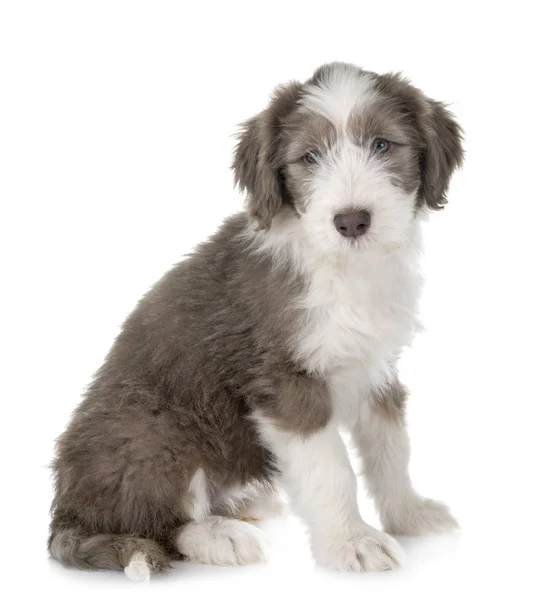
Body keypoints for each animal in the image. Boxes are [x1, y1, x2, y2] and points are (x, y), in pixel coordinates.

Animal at [49, 63, 466, 580]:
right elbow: (332, 471)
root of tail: (64, 511)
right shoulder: (285, 384)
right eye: (310, 156)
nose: (351, 221)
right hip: (152, 432)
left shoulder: (376, 368)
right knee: (159, 526)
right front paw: (352, 543)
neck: (344, 269)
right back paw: (218, 536)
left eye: (382, 144)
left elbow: (392, 449)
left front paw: (409, 513)